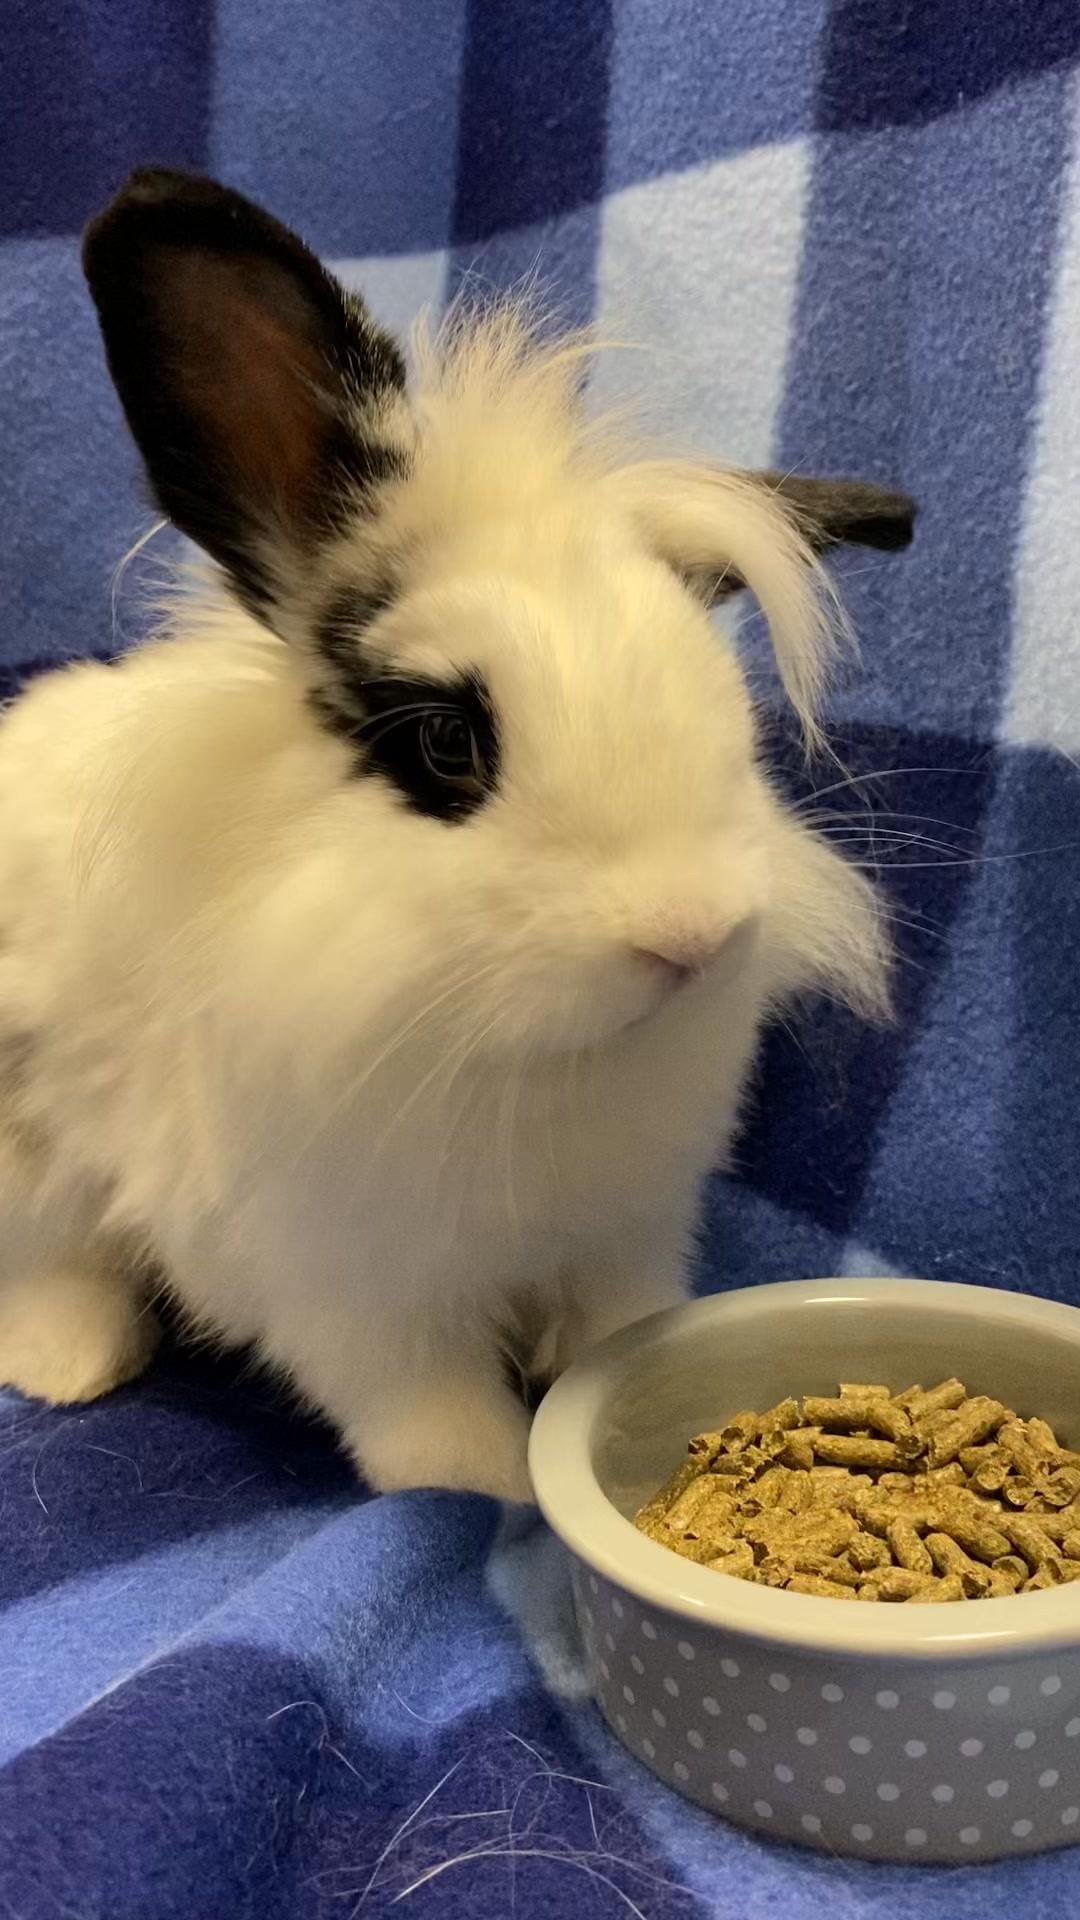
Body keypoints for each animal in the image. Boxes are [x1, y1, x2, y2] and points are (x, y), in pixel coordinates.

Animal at [0, 169, 915, 1501]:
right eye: (444, 742)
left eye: (724, 709)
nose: (689, 935)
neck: (535, 1064)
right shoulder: (353, 1291)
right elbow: (425, 1410)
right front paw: (492, 1490)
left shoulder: (626, 1231)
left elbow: (613, 1331)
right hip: (26, 1152)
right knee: (46, 1264)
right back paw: (76, 1363)